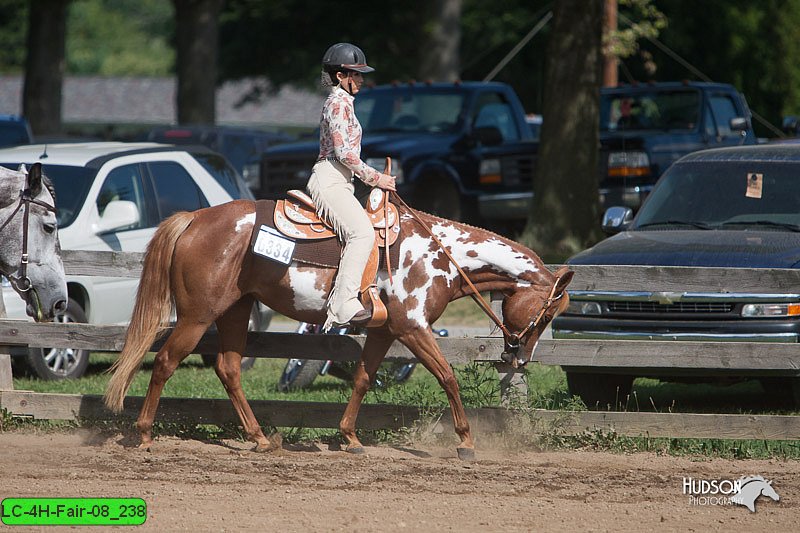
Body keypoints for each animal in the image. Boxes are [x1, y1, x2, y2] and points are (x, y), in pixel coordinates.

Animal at [104, 193, 568, 460]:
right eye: (547, 315)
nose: (519, 359)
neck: (439, 253)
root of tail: (195, 218)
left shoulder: (383, 331)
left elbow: (363, 378)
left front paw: (349, 437)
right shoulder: (412, 327)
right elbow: (447, 377)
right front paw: (466, 442)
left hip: (236, 309)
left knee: (228, 368)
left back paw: (260, 439)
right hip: (198, 315)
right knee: (165, 361)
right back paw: (144, 435)